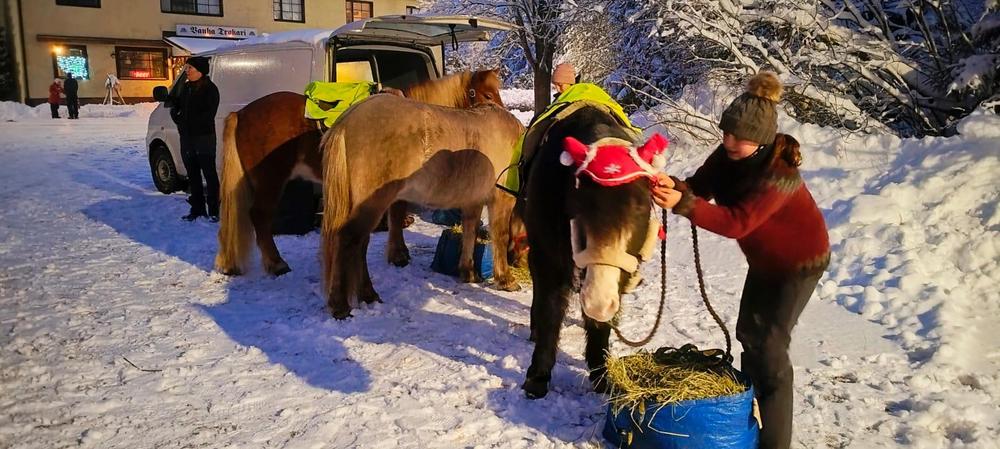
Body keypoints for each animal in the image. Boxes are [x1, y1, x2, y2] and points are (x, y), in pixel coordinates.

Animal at [214, 69, 505, 277]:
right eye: (487, 95)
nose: (502, 116)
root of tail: (241, 113)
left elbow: (396, 216)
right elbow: (397, 214)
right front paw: (398, 255)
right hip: (271, 179)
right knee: (260, 216)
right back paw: (276, 263)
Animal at [319, 94, 526, 319]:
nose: (521, 263)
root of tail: (346, 121)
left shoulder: (473, 201)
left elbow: (470, 233)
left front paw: (468, 272)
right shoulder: (501, 200)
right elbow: (501, 237)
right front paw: (505, 279)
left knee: (360, 245)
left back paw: (368, 295)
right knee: (348, 241)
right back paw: (340, 305)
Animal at [519, 105, 668, 399]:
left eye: (640, 207)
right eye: (579, 205)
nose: (597, 301)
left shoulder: (620, 273)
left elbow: (601, 326)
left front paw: (602, 377)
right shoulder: (548, 259)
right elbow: (549, 312)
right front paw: (538, 377)